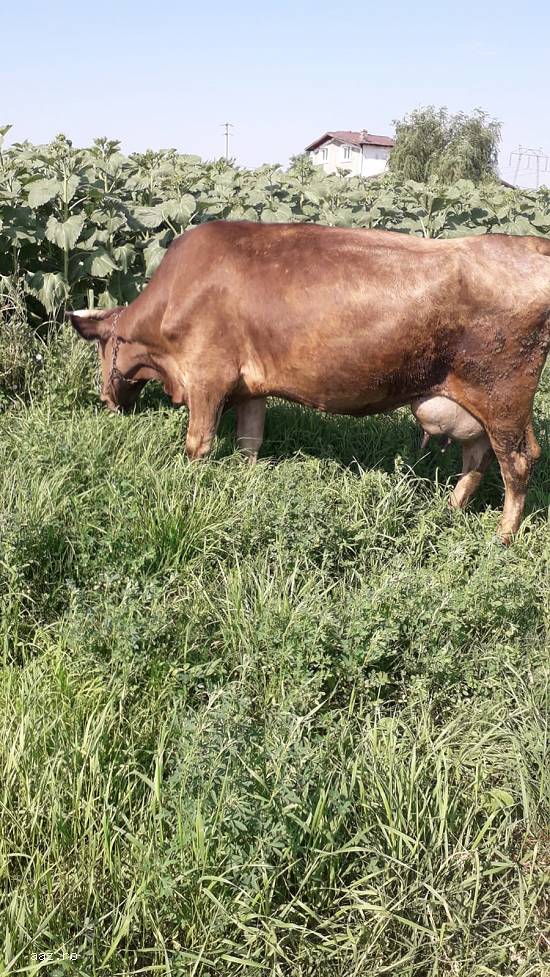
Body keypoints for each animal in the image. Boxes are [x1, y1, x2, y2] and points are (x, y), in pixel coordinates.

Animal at [68, 221, 550, 544]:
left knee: (516, 461)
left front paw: (191, 488)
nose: (106, 398)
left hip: (502, 395)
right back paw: (449, 509)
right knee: (478, 456)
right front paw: (246, 483)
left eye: (101, 349)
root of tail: (529, 243)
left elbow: (198, 443)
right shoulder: (251, 388)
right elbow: (250, 441)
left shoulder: (207, 375)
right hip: (479, 403)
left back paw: (502, 536)